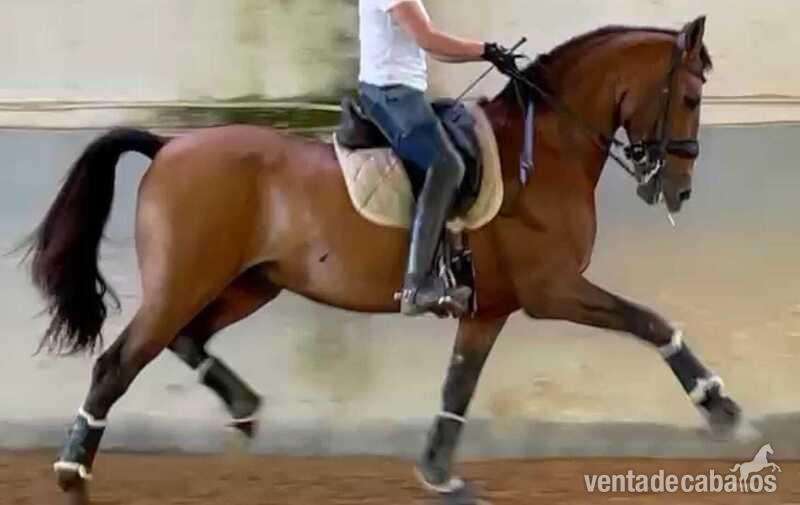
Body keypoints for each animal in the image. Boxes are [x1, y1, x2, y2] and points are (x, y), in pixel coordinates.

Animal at [26, 16, 741, 504]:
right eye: (691, 98)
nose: (677, 190)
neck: (549, 151)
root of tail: (169, 145)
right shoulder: (553, 289)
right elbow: (649, 320)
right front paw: (720, 407)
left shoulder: (491, 308)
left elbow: (458, 387)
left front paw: (439, 475)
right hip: (187, 279)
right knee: (120, 361)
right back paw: (72, 469)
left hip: (249, 284)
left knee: (184, 339)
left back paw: (245, 407)